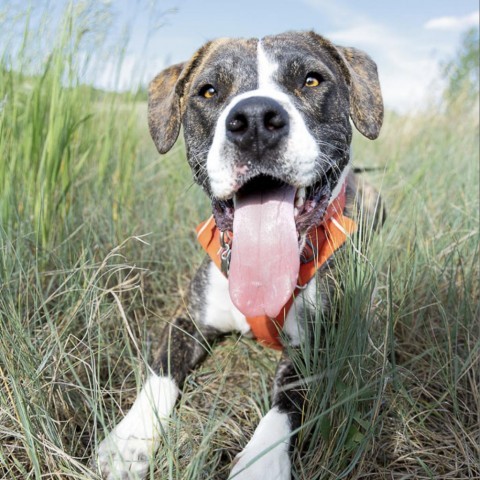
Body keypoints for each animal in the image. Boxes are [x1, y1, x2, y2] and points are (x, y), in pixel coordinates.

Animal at [95, 31, 384, 480]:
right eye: (208, 91)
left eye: (311, 80)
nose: (255, 120)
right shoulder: (187, 318)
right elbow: (160, 371)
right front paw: (131, 440)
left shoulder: (318, 348)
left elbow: (286, 405)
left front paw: (261, 461)